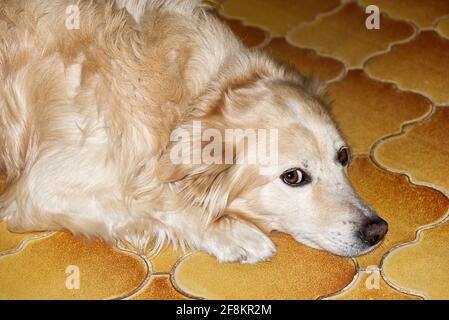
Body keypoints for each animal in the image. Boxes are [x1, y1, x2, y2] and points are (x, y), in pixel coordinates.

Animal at [0, 0, 384, 262]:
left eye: (343, 157)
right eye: (293, 177)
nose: (378, 230)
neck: (189, 98)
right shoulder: (43, 187)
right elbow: (151, 200)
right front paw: (232, 232)